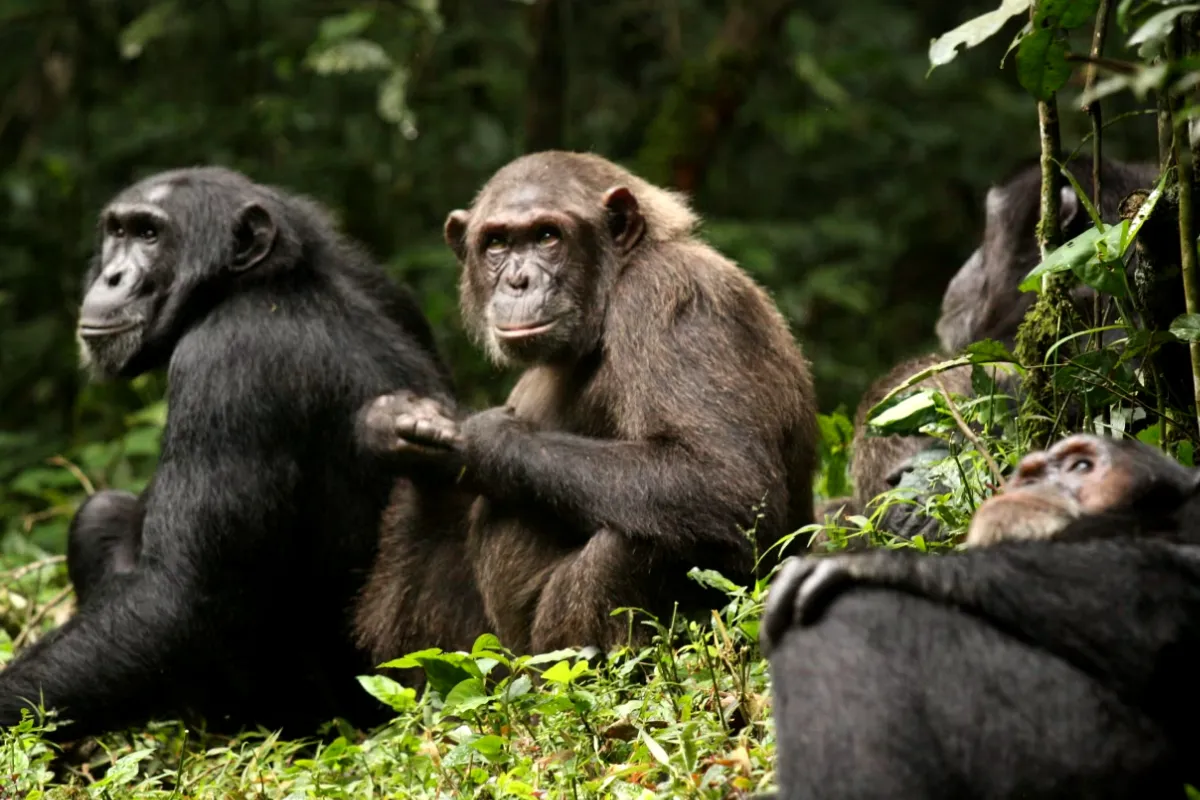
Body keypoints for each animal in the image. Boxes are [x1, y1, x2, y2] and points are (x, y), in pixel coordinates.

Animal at [357, 150, 818, 657]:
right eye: (496, 243)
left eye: (547, 236)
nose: (518, 280)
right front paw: (395, 425)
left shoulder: (675, 300)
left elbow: (724, 478)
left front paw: (476, 439)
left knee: (634, 545)